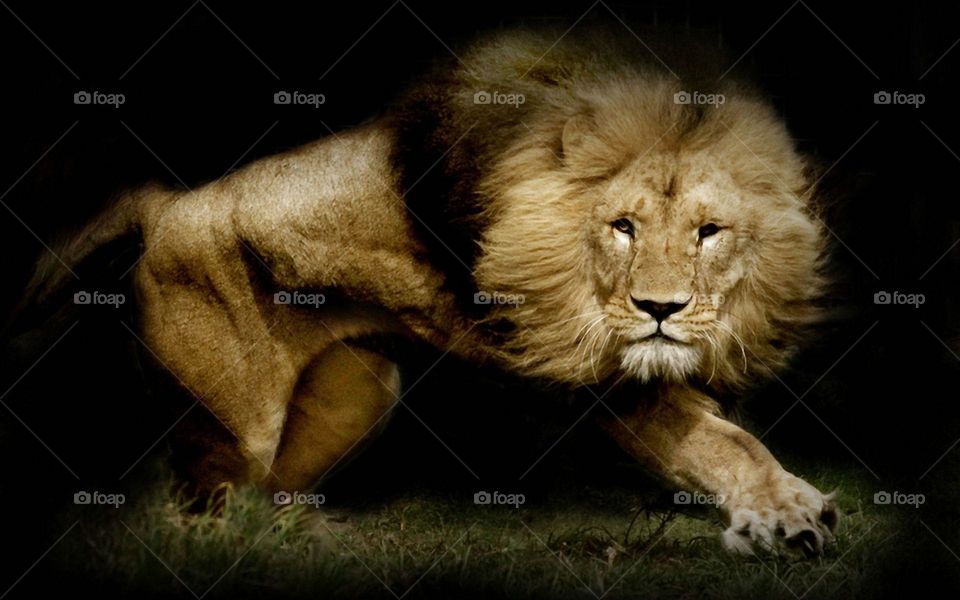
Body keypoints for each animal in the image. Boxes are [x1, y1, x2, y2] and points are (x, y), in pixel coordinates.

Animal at [19, 28, 838, 556]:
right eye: (622, 227)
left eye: (710, 232)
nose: (660, 310)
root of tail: (165, 205)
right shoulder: (586, 372)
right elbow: (718, 440)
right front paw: (784, 511)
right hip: (230, 418)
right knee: (197, 511)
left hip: (362, 387)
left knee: (268, 495)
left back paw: (310, 540)